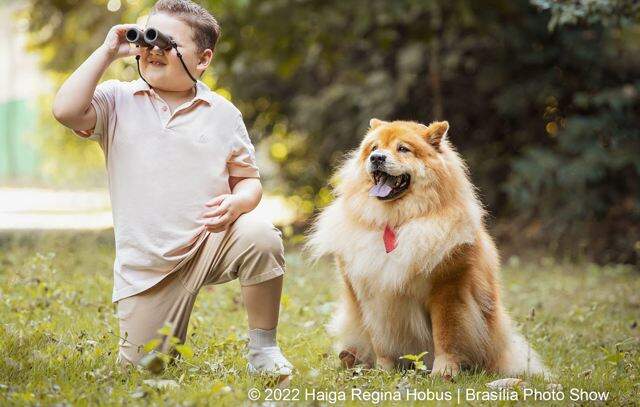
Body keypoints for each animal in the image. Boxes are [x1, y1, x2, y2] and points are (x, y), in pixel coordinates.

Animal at [308, 119, 548, 378]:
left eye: (403, 149)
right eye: (374, 148)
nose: (377, 158)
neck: (395, 222)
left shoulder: (447, 289)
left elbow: (445, 335)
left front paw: (444, 372)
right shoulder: (372, 294)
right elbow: (381, 340)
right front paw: (384, 370)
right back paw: (350, 358)